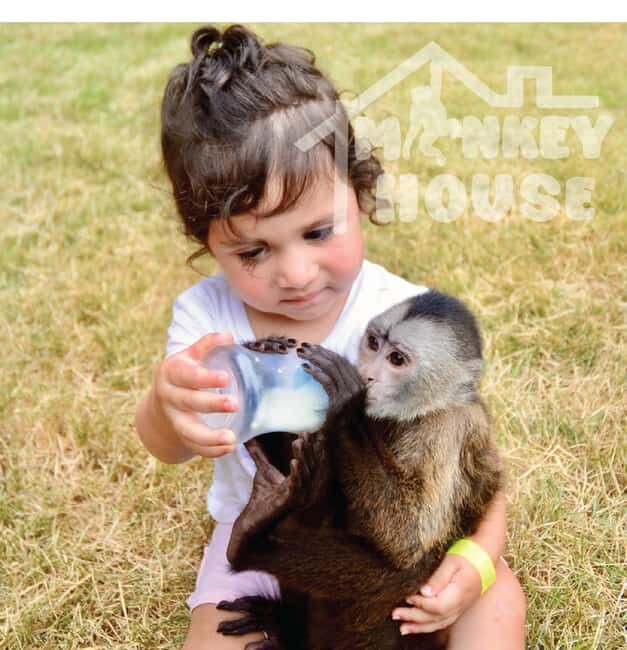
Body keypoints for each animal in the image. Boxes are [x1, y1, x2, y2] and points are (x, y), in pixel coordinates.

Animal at [215, 289, 503, 649]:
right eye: (373, 344)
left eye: (397, 359)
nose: (367, 374)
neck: (417, 412)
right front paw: (266, 351)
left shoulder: (445, 428)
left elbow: (406, 538)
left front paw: (348, 402)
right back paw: (284, 623)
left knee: (401, 570)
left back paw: (249, 543)